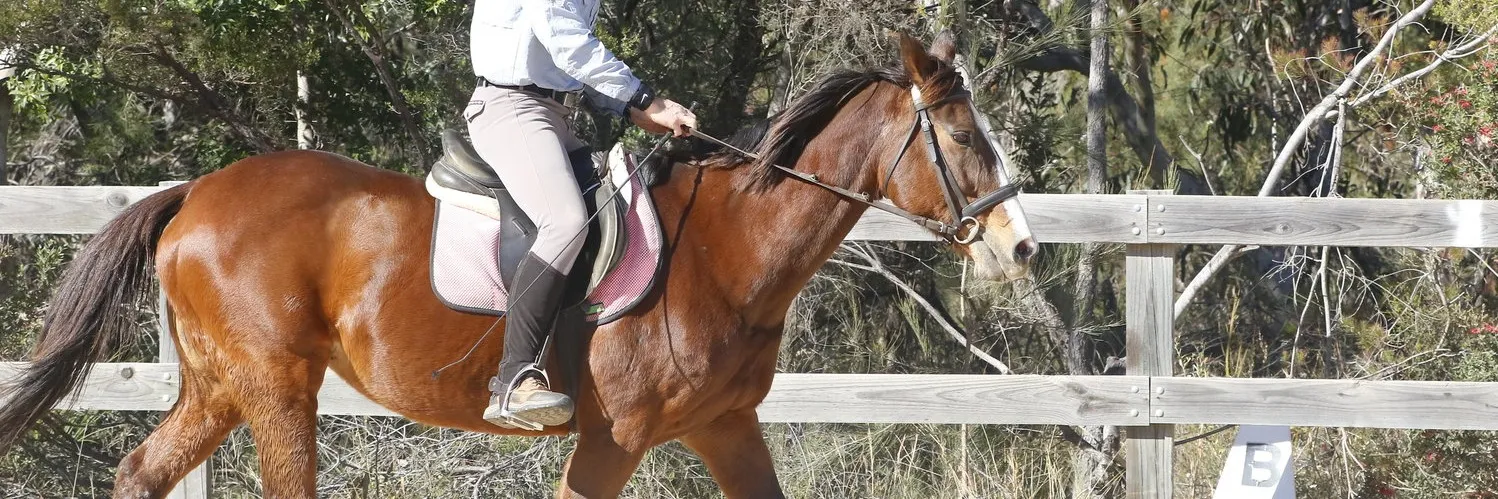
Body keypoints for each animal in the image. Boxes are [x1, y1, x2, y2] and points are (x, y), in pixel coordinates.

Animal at [0, 33, 1035, 498]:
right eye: (958, 135)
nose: (1019, 244)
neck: (728, 249)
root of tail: (195, 194)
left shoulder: (726, 426)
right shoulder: (616, 436)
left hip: (221, 385)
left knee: (140, 471)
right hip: (276, 386)